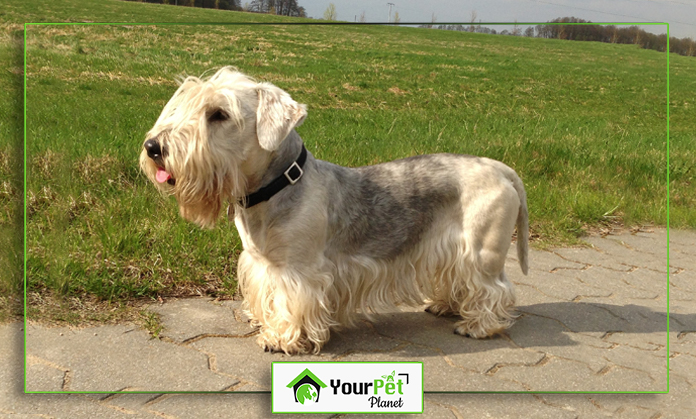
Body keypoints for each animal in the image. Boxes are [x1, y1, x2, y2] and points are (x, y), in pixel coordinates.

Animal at [140, 68, 528, 354]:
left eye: (218, 114)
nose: (153, 147)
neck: (278, 186)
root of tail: (500, 169)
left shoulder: (299, 271)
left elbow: (291, 304)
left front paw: (281, 338)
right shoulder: (260, 263)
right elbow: (265, 295)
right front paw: (263, 320)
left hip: (481, 251)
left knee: (497, 288)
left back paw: (478, 326)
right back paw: (445, 305)